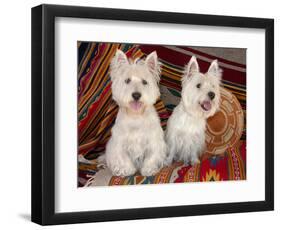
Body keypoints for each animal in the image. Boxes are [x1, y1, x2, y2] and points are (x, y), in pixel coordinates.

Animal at [104, 49, 166, 177]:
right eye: (127, 80)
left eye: (144, 82)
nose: (136, 95)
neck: (136, 115)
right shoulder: (119, 142)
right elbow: (123, 158)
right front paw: (126, 170)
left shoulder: (154, 140)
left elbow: (152, 156)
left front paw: (149, 170)